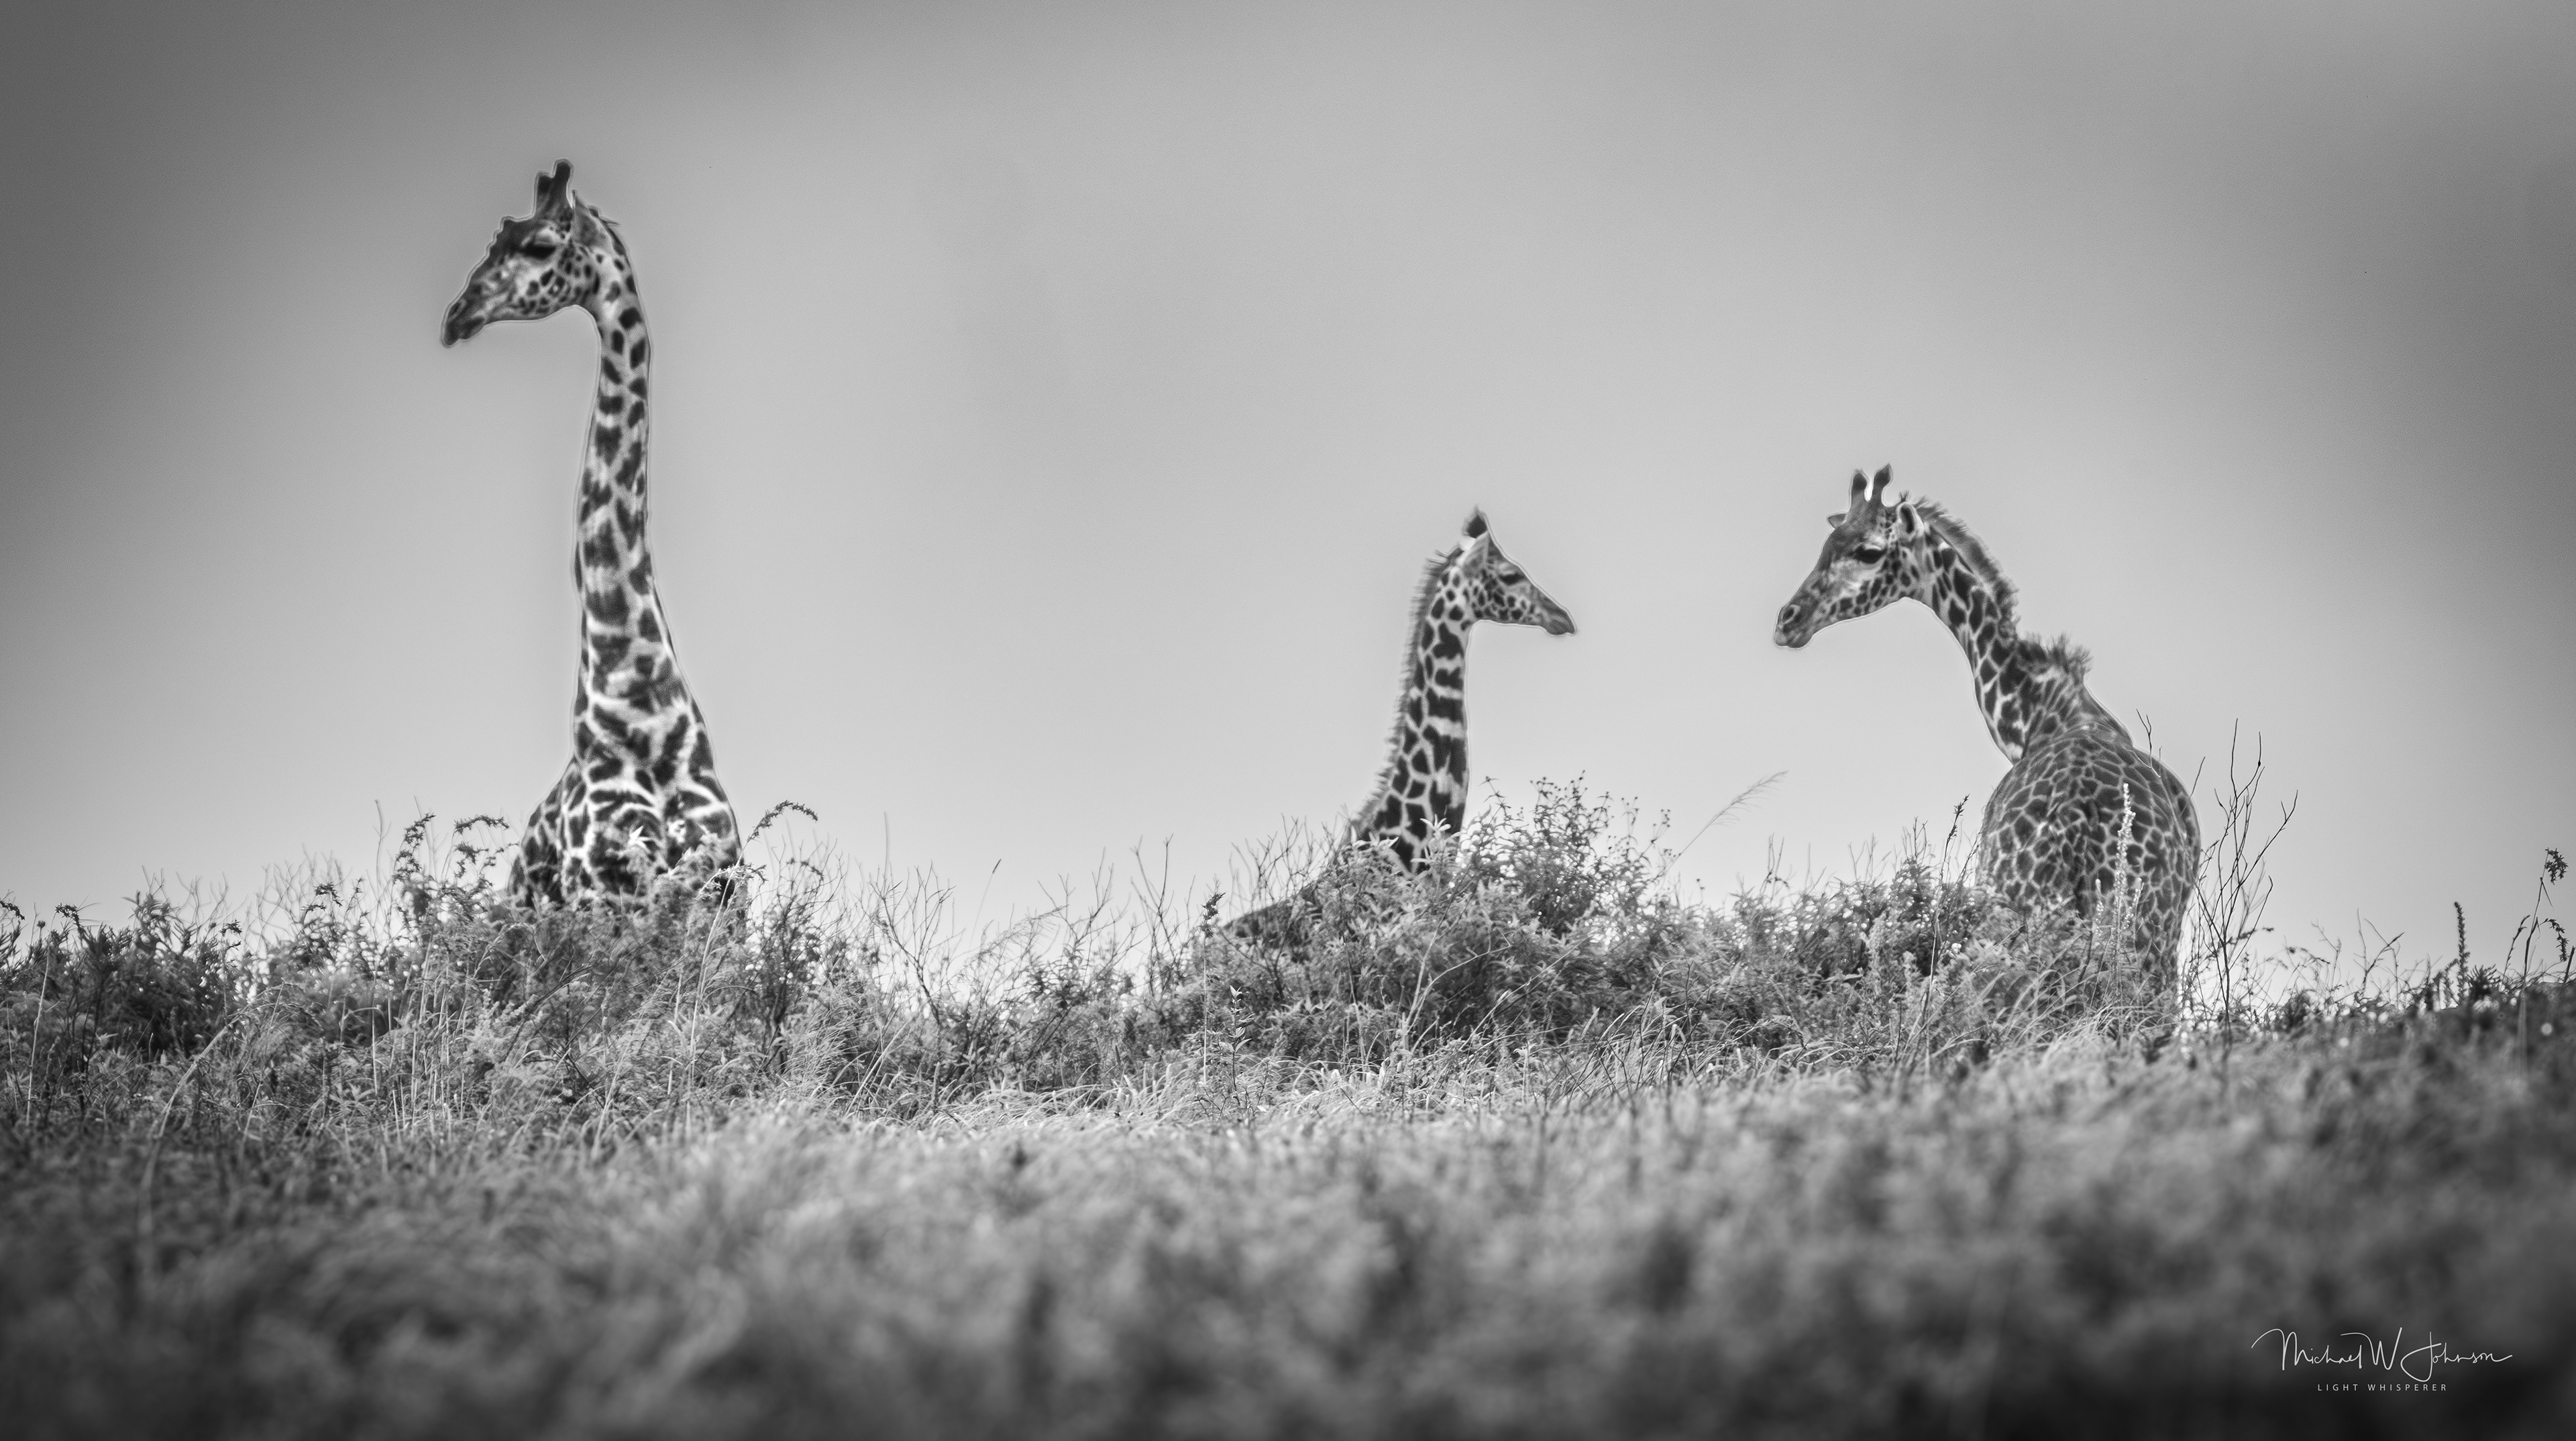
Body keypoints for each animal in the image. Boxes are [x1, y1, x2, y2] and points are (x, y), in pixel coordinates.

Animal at [442, 161, 740, 906]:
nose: (457, 316)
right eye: (494, 239)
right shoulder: (599, 893)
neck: (643, 708)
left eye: (539, 246)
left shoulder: (722, 896)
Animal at [1771, 467, 2200, 974]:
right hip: (2138, 937)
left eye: (1869, 551)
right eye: (1828, 543)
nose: (1788, 621)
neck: (2047, 716)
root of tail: (2082, 825)